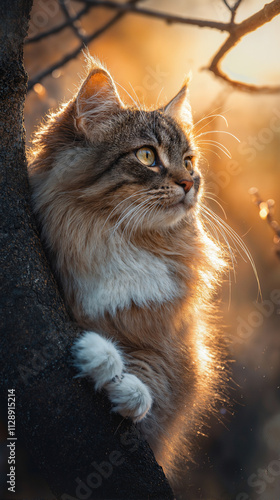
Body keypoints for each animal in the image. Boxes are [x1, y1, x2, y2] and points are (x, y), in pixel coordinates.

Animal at [28, 54, 229, 480]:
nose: (191, 183)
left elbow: (152, 381)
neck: (117, 238)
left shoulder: (181, 356)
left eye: (189, 161)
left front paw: (119, 379)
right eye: (147, 156)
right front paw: (103, 357)